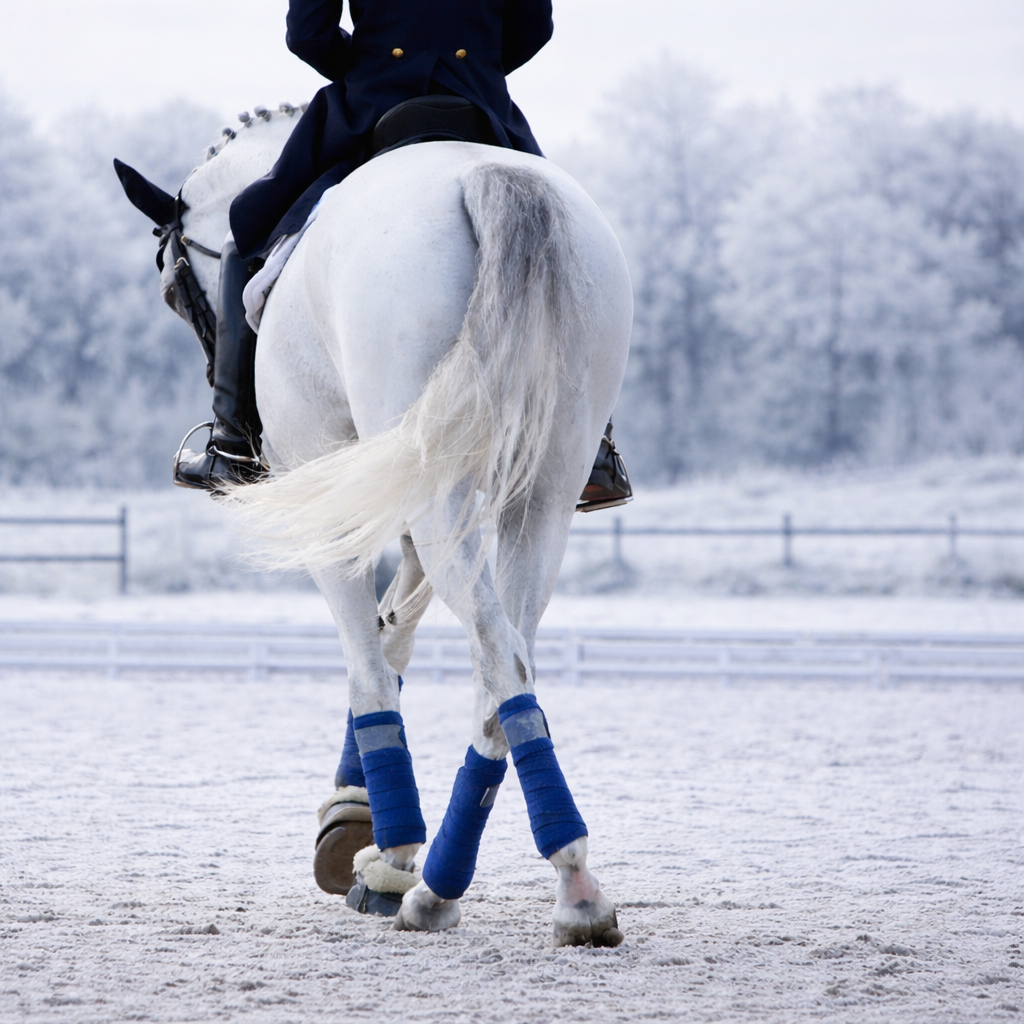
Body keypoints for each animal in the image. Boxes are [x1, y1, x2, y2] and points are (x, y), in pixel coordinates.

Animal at [116, 104, 633, 946]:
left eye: (172, 293)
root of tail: (489, 176)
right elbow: (396, 635)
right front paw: (361, 824)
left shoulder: (339, 501)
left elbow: (368, 660)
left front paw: (377, 843)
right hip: (542, 497)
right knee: (506, 666)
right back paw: (469, 886)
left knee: (496, 655)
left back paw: (528, 886)